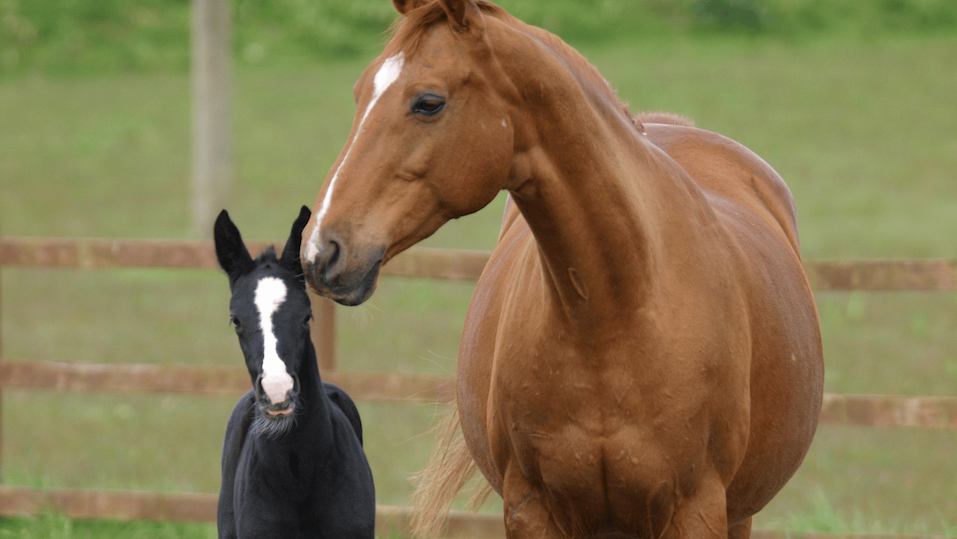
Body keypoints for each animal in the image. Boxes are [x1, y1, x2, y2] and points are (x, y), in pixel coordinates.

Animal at [298, 1, 824, 538]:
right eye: (361, 92)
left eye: (428, 102)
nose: (322, 250)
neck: (612, 316)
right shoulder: (531, 508)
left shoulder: (696, 511)